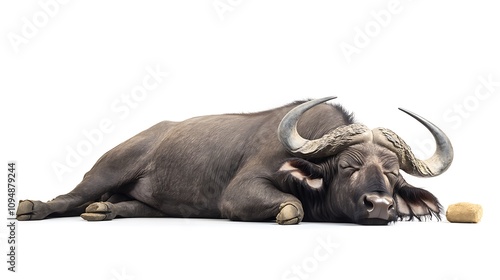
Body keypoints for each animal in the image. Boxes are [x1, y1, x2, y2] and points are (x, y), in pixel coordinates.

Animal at [16, 97, 454, 225]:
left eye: (392, 174)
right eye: (348, 166)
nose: (379, 205)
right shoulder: (239, 192)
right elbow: (291, 206)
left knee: (124, 205)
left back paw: (104, 210)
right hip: (110, 167)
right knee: (70, 197)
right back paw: (33, 206)